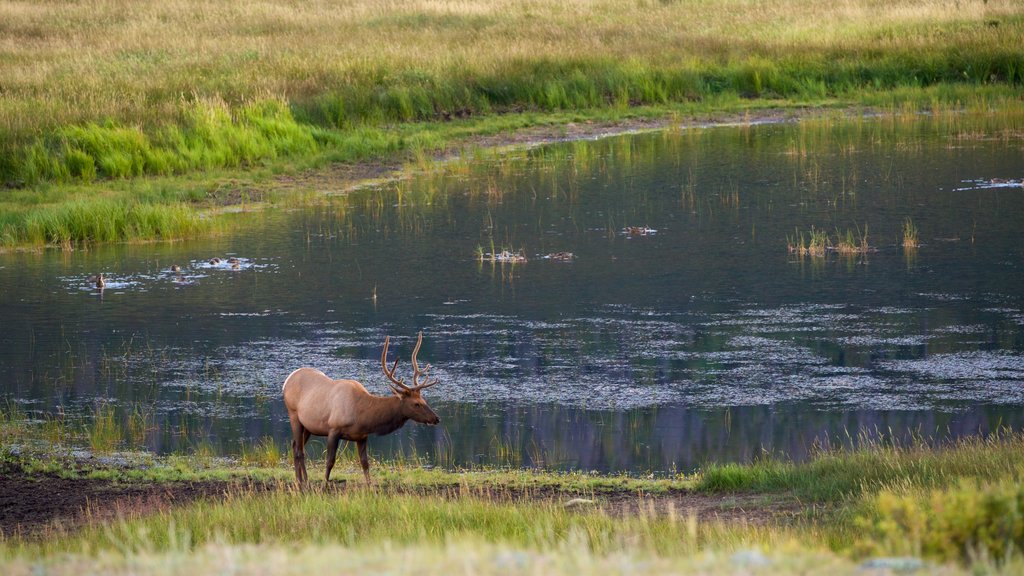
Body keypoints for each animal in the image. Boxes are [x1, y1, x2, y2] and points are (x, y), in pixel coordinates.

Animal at [284, 332, 440, 483]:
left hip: (308, 425)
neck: (362, 416)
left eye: (424, 400)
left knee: (295, 446)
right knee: (299, 450)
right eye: (416, 404)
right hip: (293, 415)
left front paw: (370, 487)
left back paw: (302, 480)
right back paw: (302, 483)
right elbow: (330, 461)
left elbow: (365, 463)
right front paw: (324, 485)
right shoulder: (333, 429)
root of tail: (287, 380)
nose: (436, 418)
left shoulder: (362, 436)